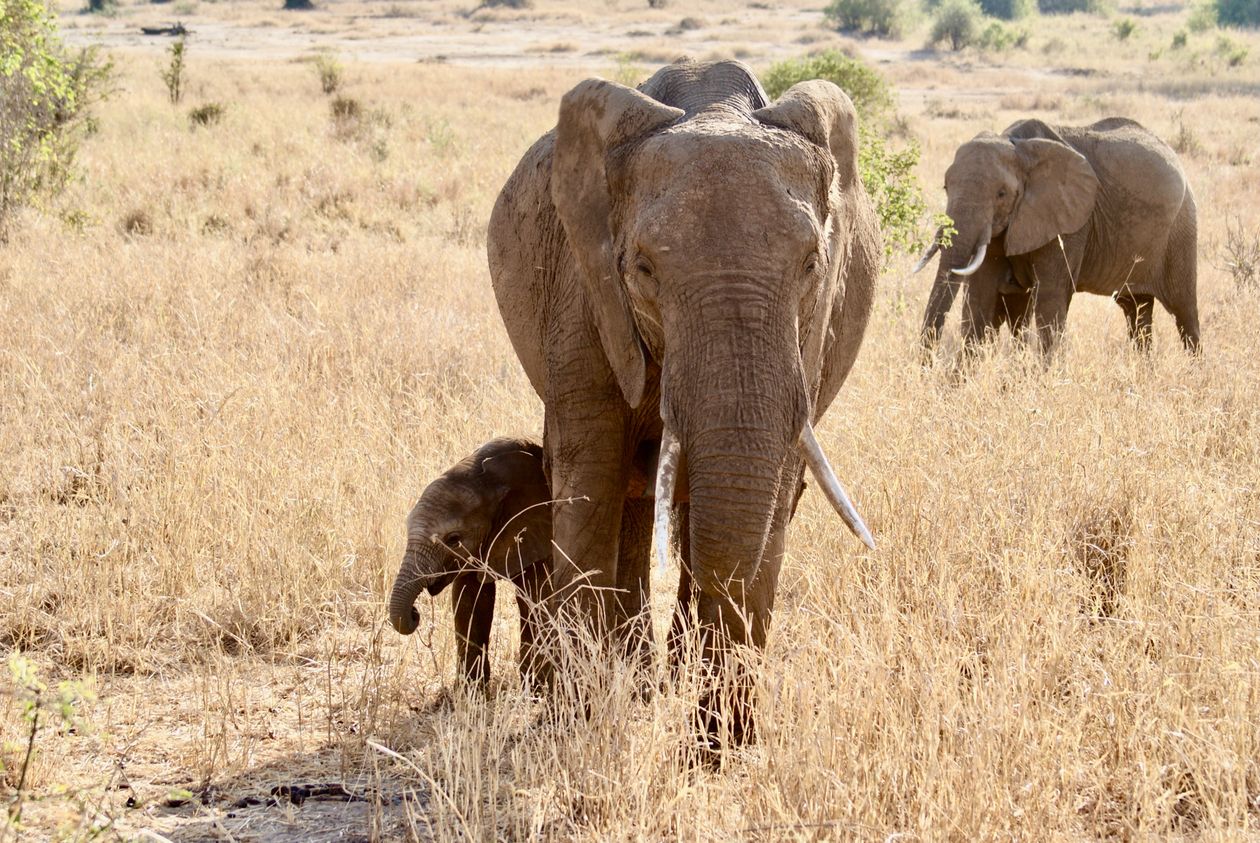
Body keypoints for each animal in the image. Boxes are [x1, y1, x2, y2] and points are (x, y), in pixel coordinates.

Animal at [388, 437, 553, 690]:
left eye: (454, 539)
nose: (415, 613)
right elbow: (469, 600)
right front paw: (470, 692)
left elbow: (537, 602)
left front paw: (536, 688)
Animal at [486, 59, 880, 751]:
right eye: (643, 269)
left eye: (812, 264)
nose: (707, 745)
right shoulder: (584, 291)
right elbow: (589, 477)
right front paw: (577, 725)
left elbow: (773, 491)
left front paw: (722, 752)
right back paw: (639, 678)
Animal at [916, 117, 1199, 357]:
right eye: (945, 187)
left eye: (1001, 194)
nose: (926, 363)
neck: (1017, 147)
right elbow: (979, 297)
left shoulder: (1070, 222)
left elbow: (1050, 297)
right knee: (1136, 310)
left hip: (1181, 231)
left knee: (1183, 311)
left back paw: (1193, 368)